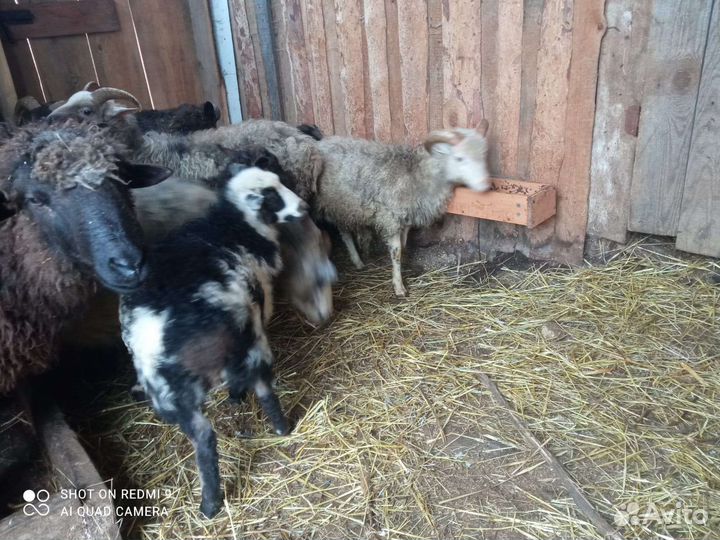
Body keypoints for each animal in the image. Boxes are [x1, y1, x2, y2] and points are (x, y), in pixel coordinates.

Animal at [120, 167, 306, 518]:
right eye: (272, 196)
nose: (303, 207)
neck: (234, 225)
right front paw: (236, 397)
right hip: (248, 341)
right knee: (259, 388)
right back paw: (276, 428)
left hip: (174, 391)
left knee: (207, 434)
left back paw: (210, 502)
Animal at [312, 122, 491, 296]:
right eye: (459, 158)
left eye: (483, 155)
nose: (486, 185)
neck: (417, 175)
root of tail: (321, 143)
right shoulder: (391, 219)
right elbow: (396, 252)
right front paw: (399, 286)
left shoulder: (405, 220)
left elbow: (403, 247)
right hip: (336, 203)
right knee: (345, 233)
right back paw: (357, 261)